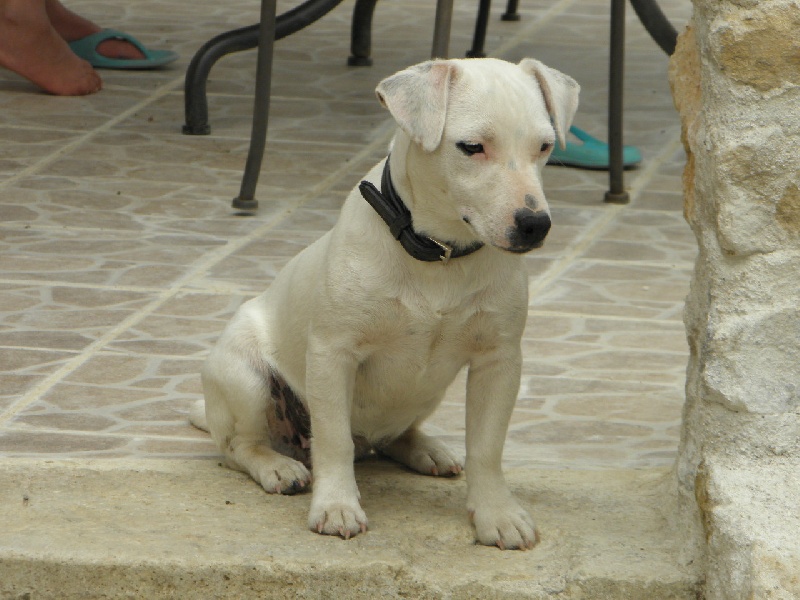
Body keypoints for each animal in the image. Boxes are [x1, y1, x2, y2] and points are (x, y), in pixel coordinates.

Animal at [194, 58, 580, 552]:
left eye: (545, 146)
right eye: (472, 147)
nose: (535, 224)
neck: (440, 254)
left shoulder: (499, 361)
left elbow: (487, 447)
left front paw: (497, 514)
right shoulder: (333, 355)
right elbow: (333, 440)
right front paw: (336, 506)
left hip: (427, 392)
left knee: (394, 435)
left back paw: (424, 449)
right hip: (245, 378)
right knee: (239, 446)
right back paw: (276, 466)